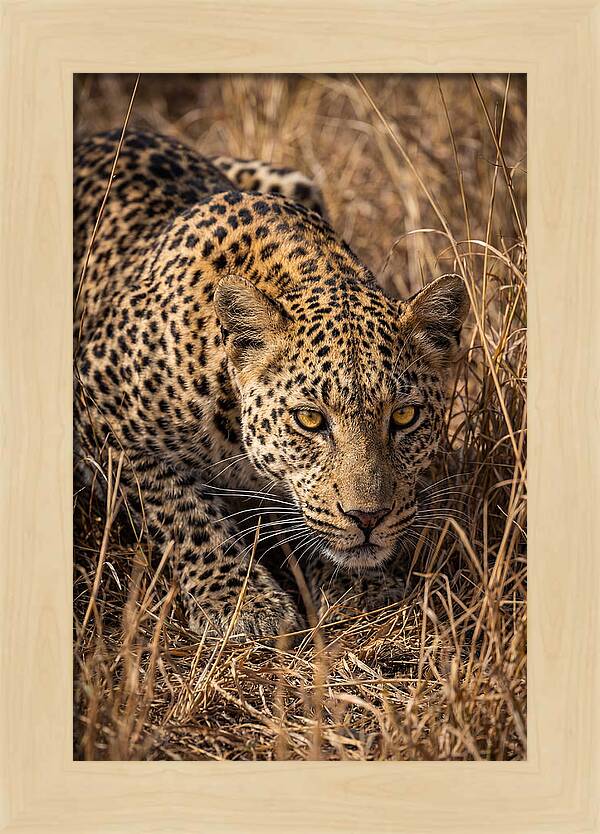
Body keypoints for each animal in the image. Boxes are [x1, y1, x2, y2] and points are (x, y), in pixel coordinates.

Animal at [74, 128, 468, 640]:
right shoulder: (95, 405)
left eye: (404, 416)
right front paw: (241, 602)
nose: (368, 517)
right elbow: (180, 508)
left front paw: (360, 587)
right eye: (309, 420)